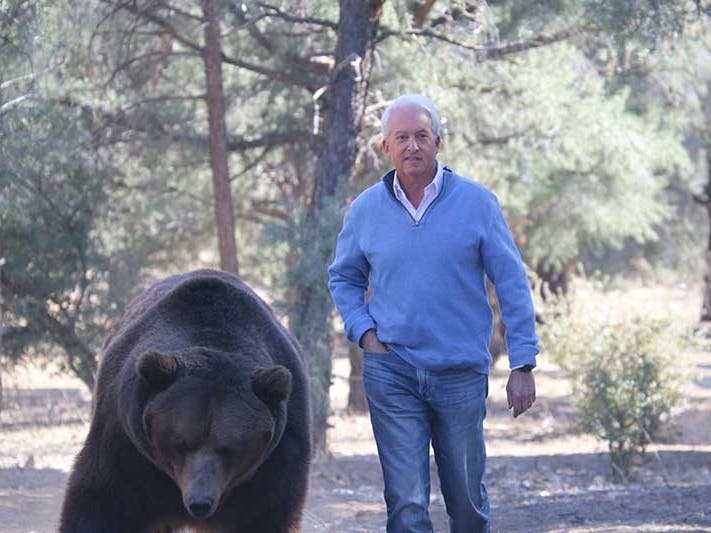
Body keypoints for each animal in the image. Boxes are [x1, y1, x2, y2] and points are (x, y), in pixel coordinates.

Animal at [59, 269, 311, 532]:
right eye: (179, 442)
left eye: (230, 448)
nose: (199, 503)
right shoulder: (124, 440)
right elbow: (102, 504)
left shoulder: (276, 459)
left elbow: (264, 514)